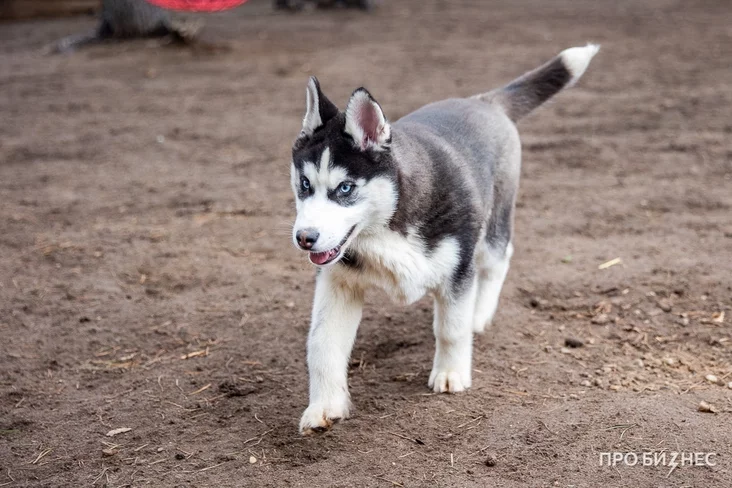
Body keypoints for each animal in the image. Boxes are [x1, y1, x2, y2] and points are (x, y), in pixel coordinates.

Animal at [289, 44, 599, 434]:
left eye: (345, 188)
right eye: (304, 184)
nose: (305, 238)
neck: (388, 226)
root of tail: (483, 101)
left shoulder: (457, 268)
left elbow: (451, 328)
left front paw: (451, 372)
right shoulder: (338, 282)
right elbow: (322, 345)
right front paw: (324, 406)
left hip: (493, 227)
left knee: (498, 260)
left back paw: (478, 314)